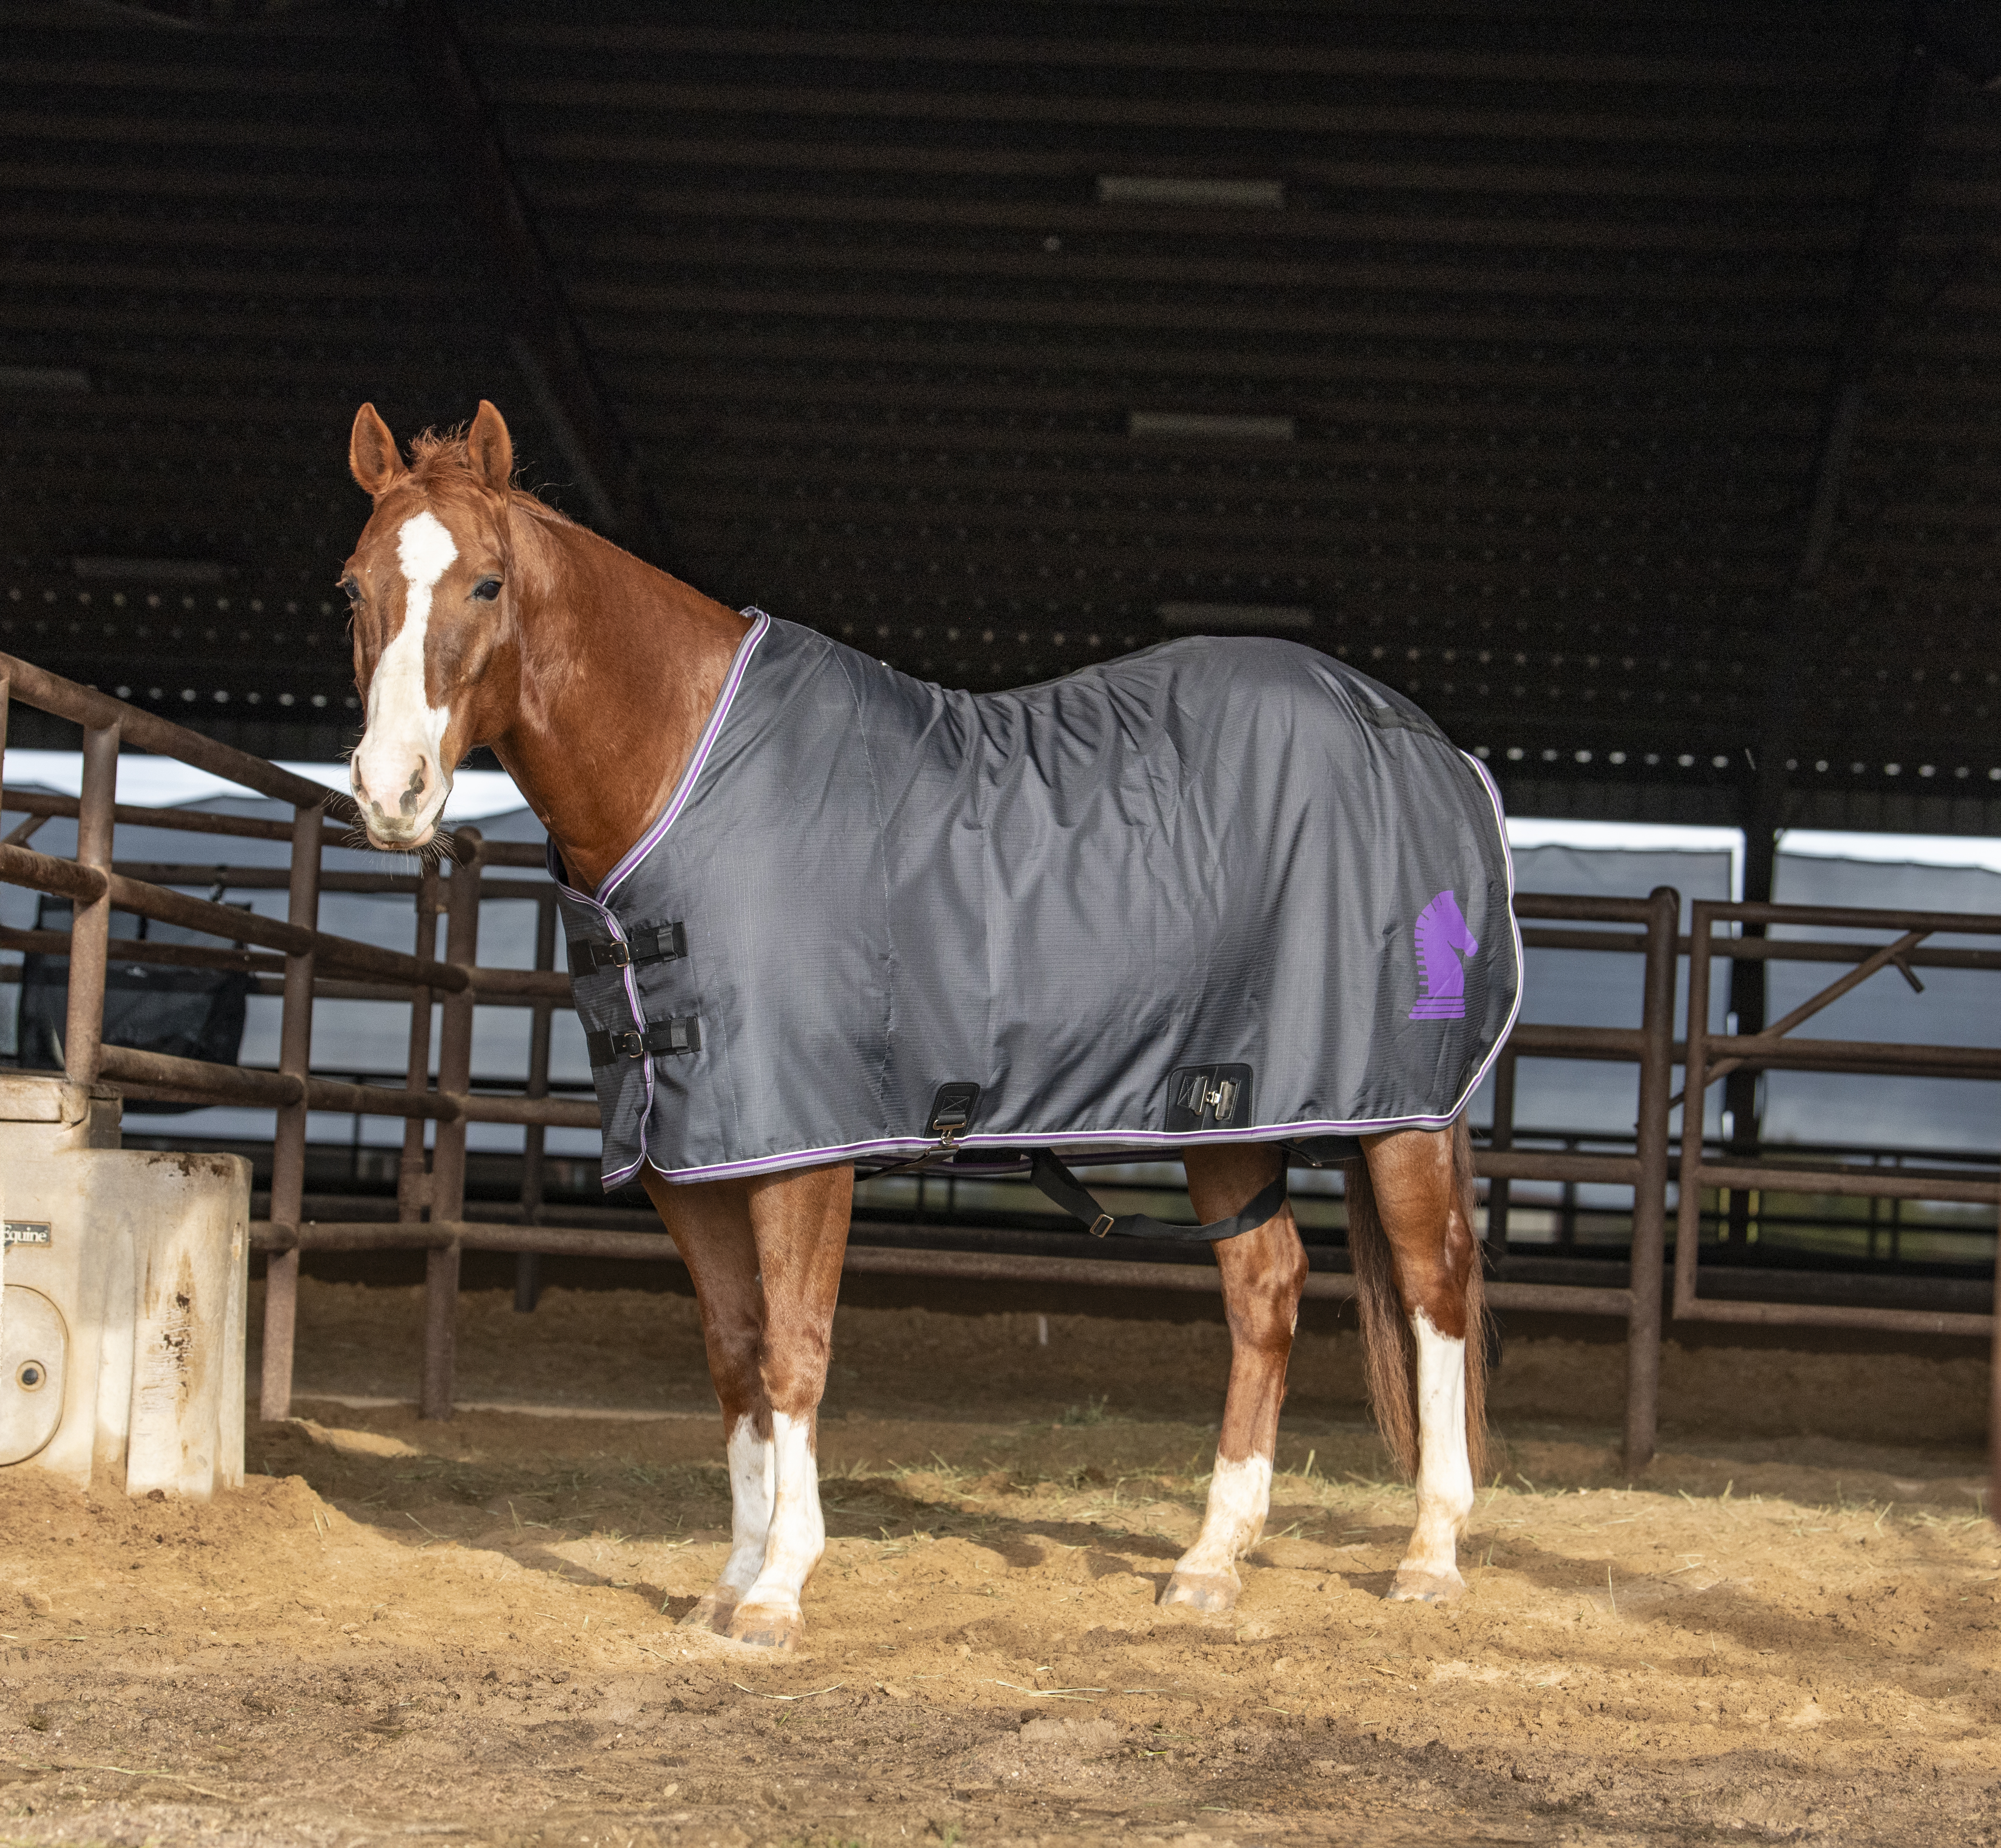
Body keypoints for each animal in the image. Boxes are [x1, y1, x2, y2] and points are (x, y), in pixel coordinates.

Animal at [340, 399, 1498, 1651]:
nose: (390, 792)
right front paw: (728, 1580)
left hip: (1398, 1114)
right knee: (1264, 1288)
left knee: (1431, 1289)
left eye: (487, 583)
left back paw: (1429, 1554)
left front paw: (779, 1589)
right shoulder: (687, 1163)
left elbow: (793, 1351)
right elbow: (734, 1360)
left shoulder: (800, 1153)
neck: (686, 772)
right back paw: (1208, 1561)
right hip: (1222, 1105)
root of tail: (1425, 744)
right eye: (354, 588)